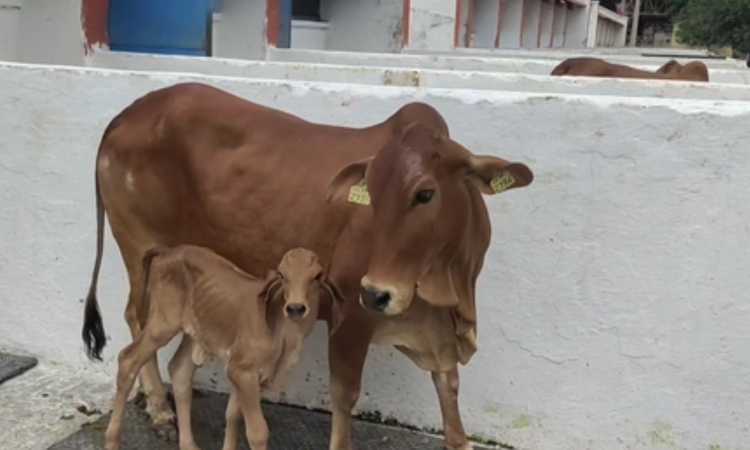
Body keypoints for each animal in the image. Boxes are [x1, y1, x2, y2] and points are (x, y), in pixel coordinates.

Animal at [104, 246, 341, 450]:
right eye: (282, 275)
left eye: (317, 276)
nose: (295, 308)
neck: (284, 334)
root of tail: (168, 251)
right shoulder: (242, 370)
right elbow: (258, 431)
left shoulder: (244, 374)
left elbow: (232, 416)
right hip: (161, 323)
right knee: (127, 359)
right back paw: (112, 441)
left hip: (194, 330)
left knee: (179, 371)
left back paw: (189, 445)